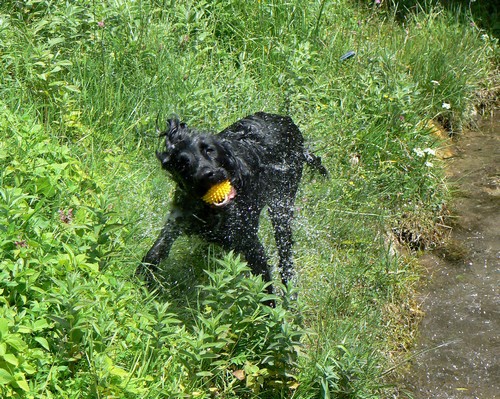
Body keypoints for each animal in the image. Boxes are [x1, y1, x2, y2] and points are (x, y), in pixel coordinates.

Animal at [141, 112, 328, 294]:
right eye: (182, 164)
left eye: (210, 150)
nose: (208, 174)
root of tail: (286, 120)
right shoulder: (179, 219)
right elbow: (155, 252)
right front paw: (141, 280)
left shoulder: (250, 243)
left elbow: (265, 288)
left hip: (282, 206)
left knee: (285, 254)